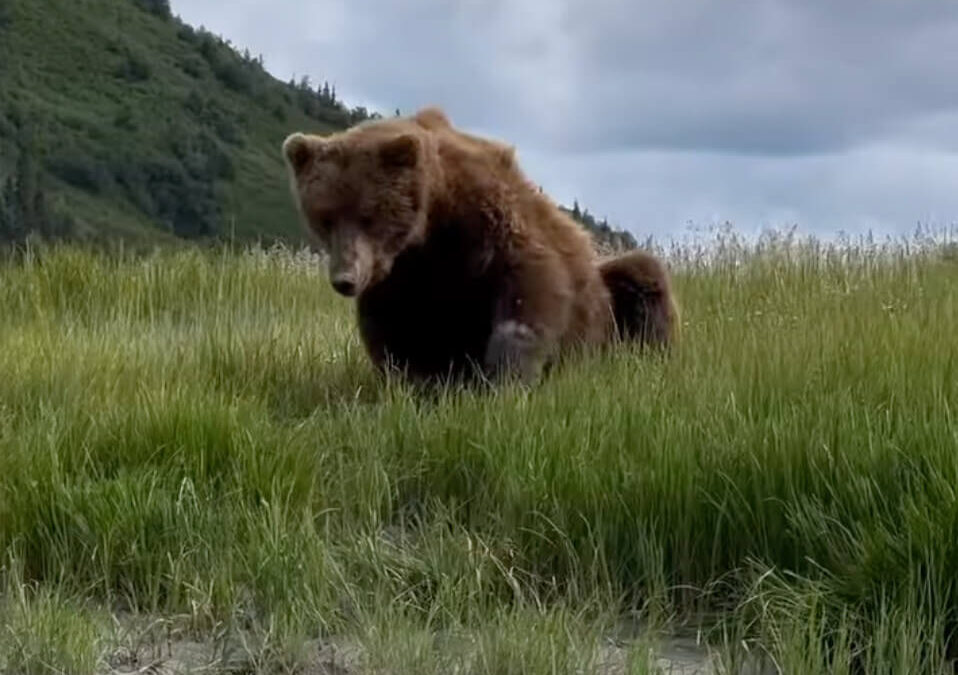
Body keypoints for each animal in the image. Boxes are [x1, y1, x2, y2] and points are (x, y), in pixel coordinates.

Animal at [282, 106, 677, 384]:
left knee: (642, 275)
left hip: (608, 309)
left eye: (368, 215)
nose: (345, 279)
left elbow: (530, 288)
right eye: (325, 217)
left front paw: (506, 379)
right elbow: (394, 329)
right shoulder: (400, 275)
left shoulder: (486, 221)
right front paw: (415, 384)